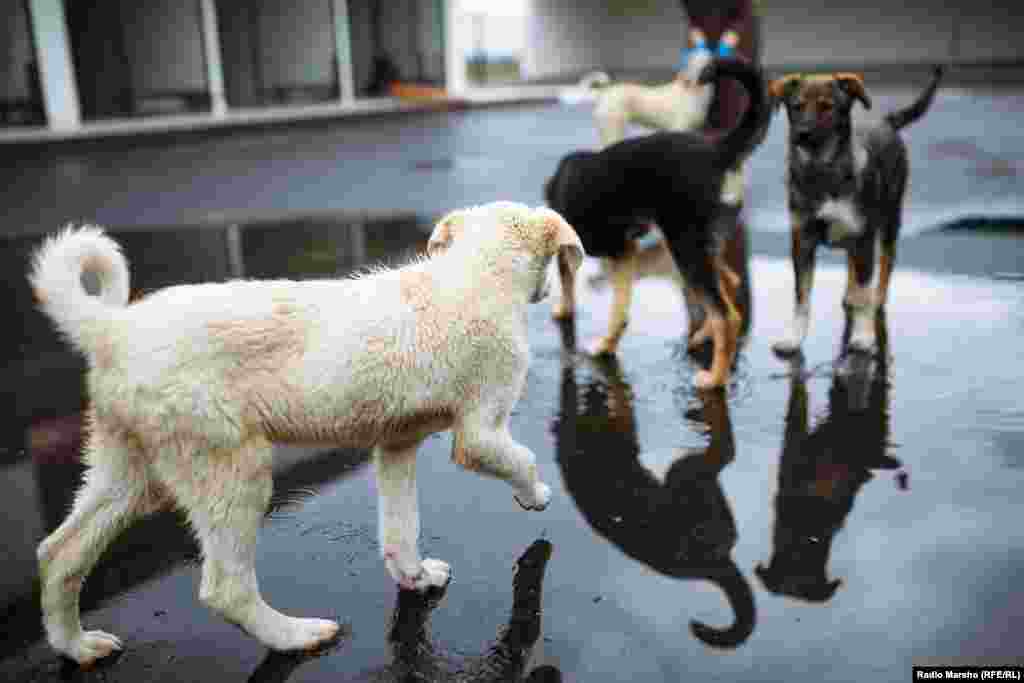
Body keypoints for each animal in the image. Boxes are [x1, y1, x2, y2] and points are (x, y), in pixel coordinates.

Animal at [544, 57, 770, 389]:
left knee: (724, 315)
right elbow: (619, 309)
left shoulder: (617, 249)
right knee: (730, 292)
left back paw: (715, 378)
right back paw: (704, 338)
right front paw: (605, 344)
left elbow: (585, 291)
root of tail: (717, 151)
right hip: (699, 248)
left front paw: (572, 316)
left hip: (684, 248)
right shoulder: (624, 249)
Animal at [770, 67, 942, 358]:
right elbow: (801, 298)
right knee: (854, 267)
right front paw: (794, 339)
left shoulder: (864, 238)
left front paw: (862, 336)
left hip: (889, 221)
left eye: (827, 107)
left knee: (884, 266)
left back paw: (876, 301)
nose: (802, 134)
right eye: (797, 107)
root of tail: (886, 121)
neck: (823, 172)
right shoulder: (802, 242)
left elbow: (864, 288)